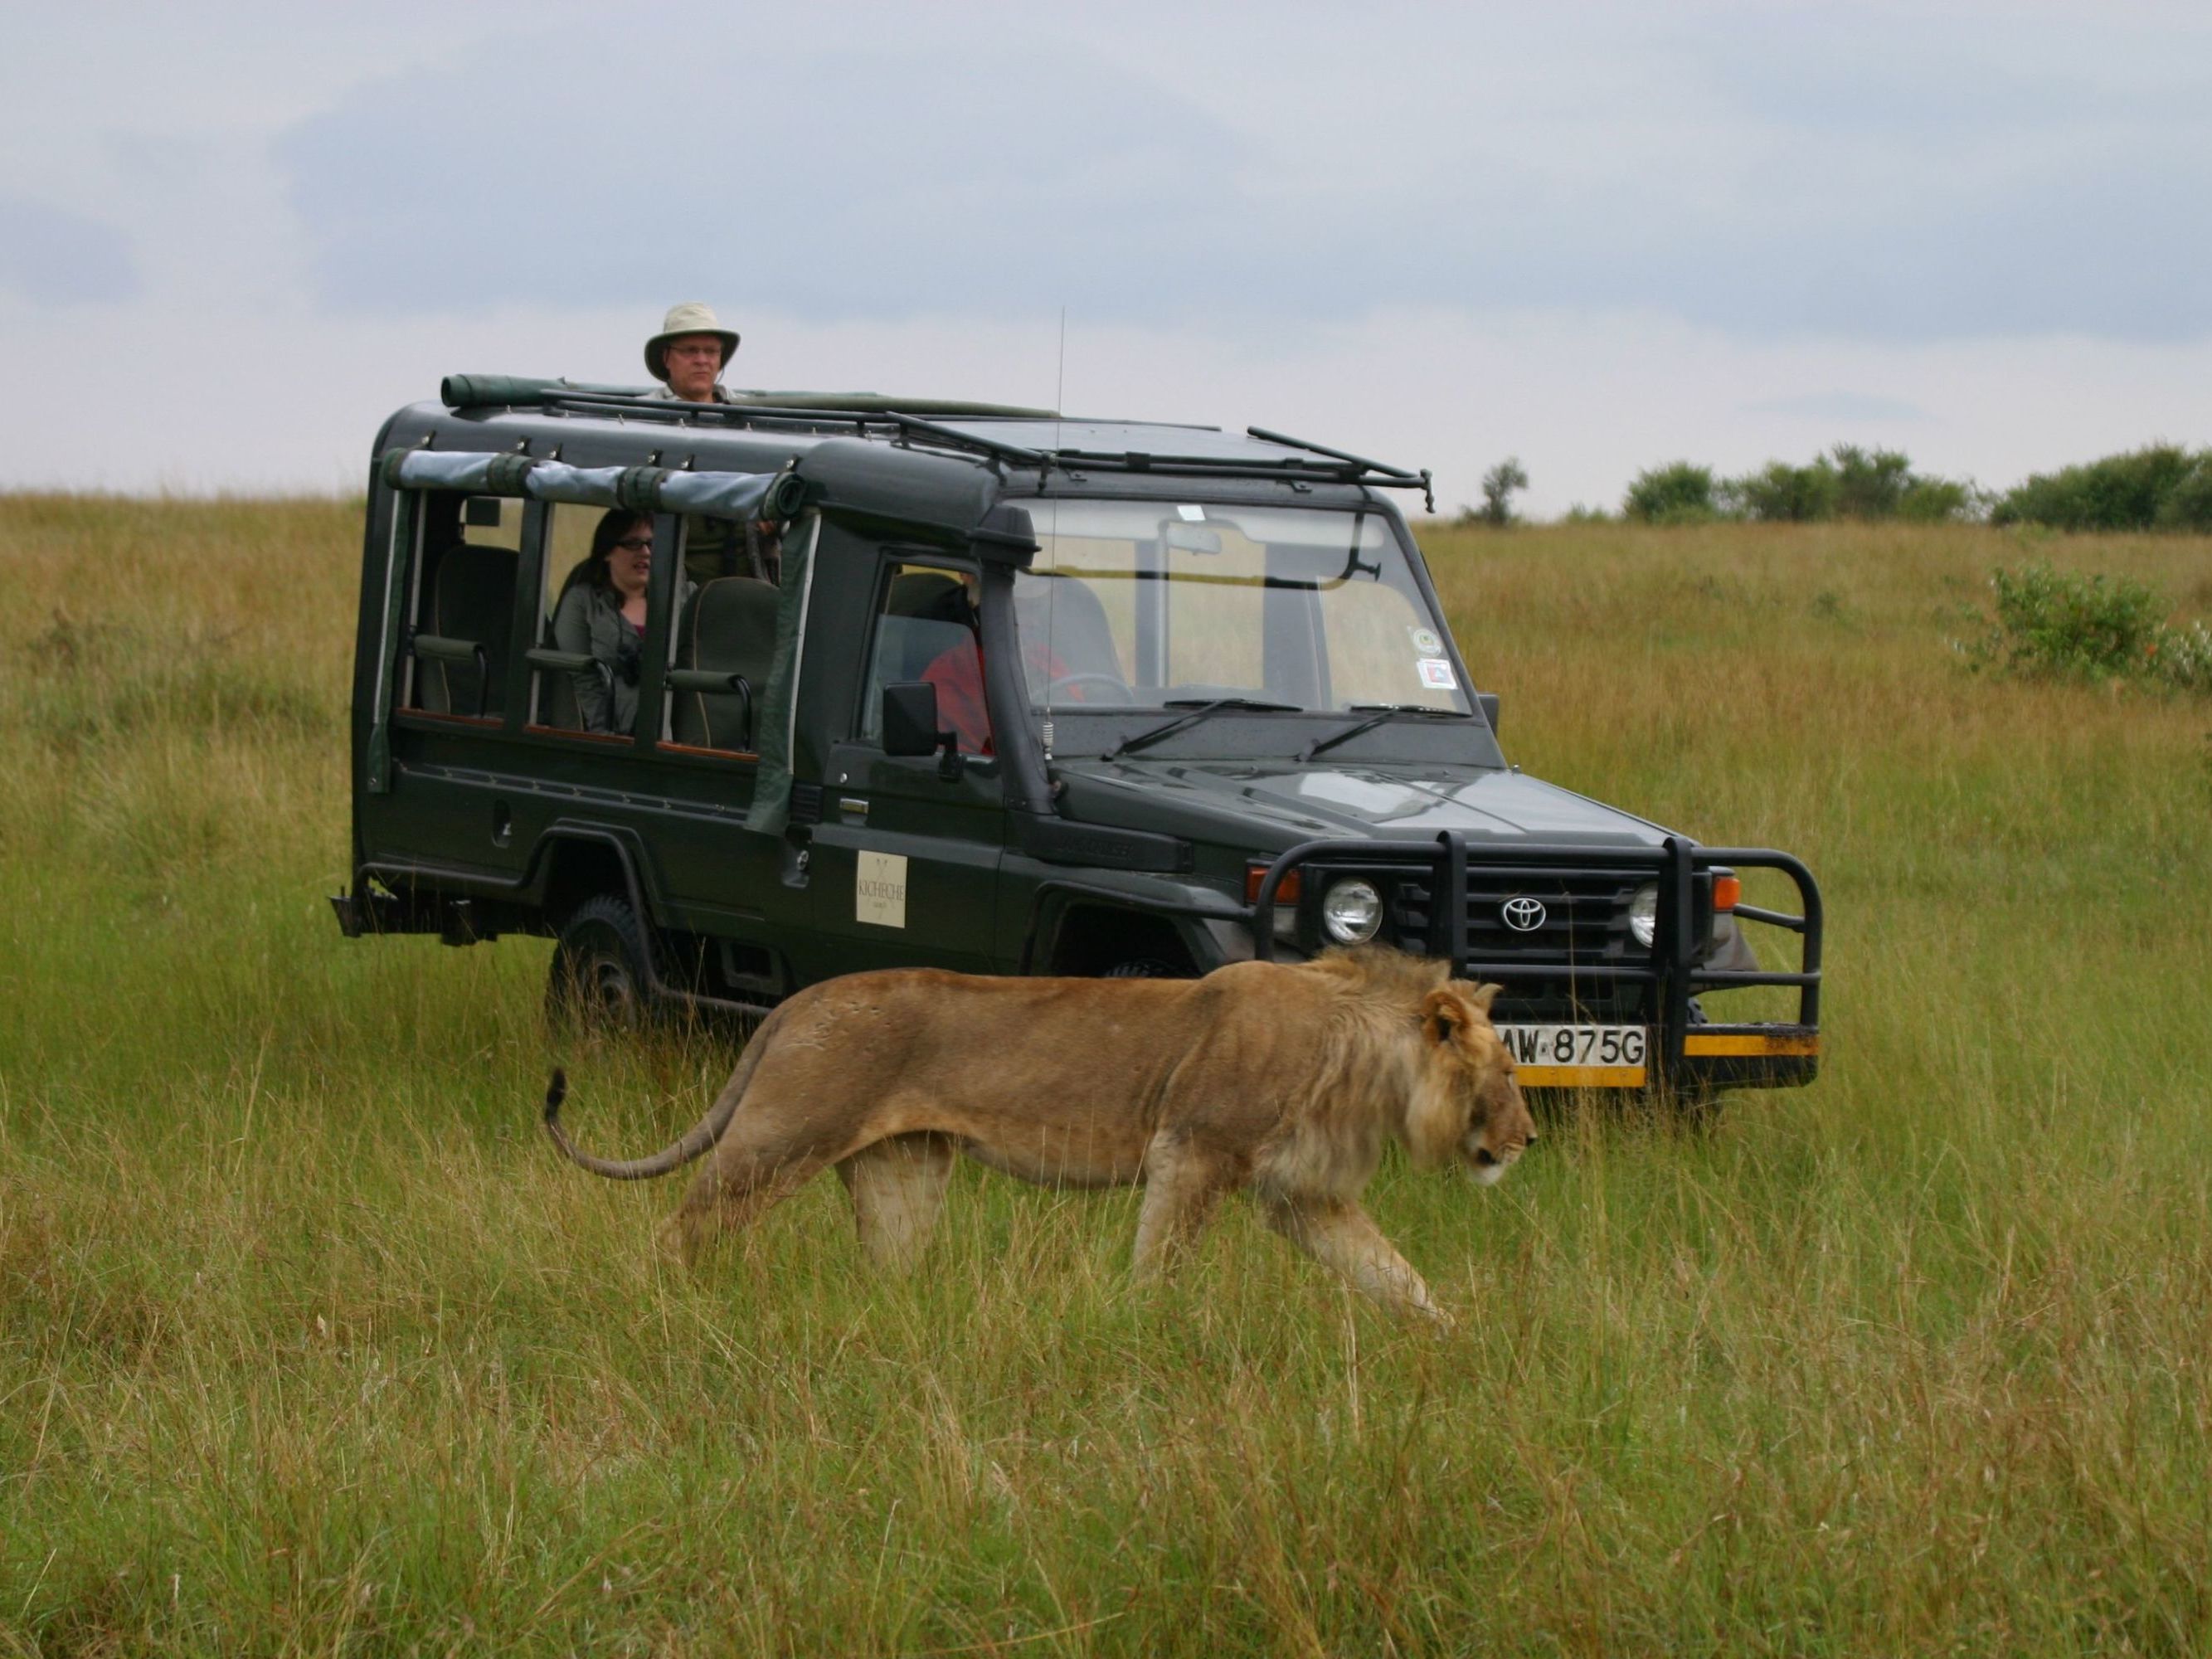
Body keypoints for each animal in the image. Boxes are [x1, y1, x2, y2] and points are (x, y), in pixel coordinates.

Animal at [542, 945, 1534, 1321]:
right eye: (1509, 1073)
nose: (1528, 1142)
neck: (1361, 1060)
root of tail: (796, 1001)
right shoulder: (1192, 1149)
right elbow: (1159, 1260)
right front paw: (1141, 1329)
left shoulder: (1304, 1195)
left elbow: (1395, 1276)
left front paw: (1458, 1344)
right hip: (776, 1140)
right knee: (677, 1230)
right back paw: (655, 1304)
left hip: (903, 1171)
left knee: (886, 1263)